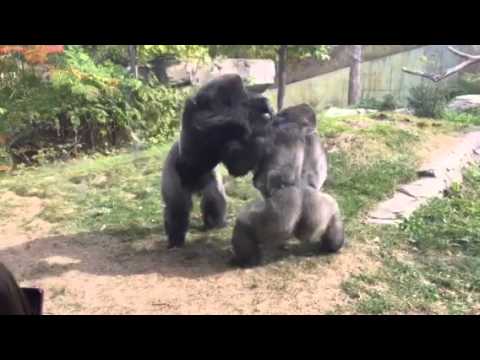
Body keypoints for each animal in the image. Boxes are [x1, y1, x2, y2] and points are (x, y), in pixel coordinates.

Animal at [161, 74, 274, 249]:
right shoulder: (202, 111)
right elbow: (206, 120)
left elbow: (238, 164)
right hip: (172, 171)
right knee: (177, 206)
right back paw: (175, 239)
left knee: (214, 196)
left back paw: (215, 223)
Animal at [230, 118, 344, 268]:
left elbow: (239, 165)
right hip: (324, 207)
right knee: (334, 217)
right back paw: (332, 247)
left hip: (278, 218)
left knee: (243, 223)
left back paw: (247, 260)